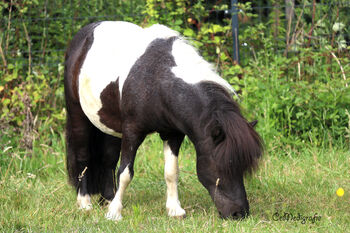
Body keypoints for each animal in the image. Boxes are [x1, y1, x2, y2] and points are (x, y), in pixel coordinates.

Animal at [64, 21, 262, 220]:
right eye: (223, 166)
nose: (239, 213)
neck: (157, 82)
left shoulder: (173, 134)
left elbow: (171, 171)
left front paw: (175, 210)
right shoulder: (132, 132)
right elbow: (125, 172)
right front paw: (114, 213)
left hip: (109, 126)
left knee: (108, 159)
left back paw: (107, 199)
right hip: (78, 115)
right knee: (83, 157)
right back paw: (85, 203)